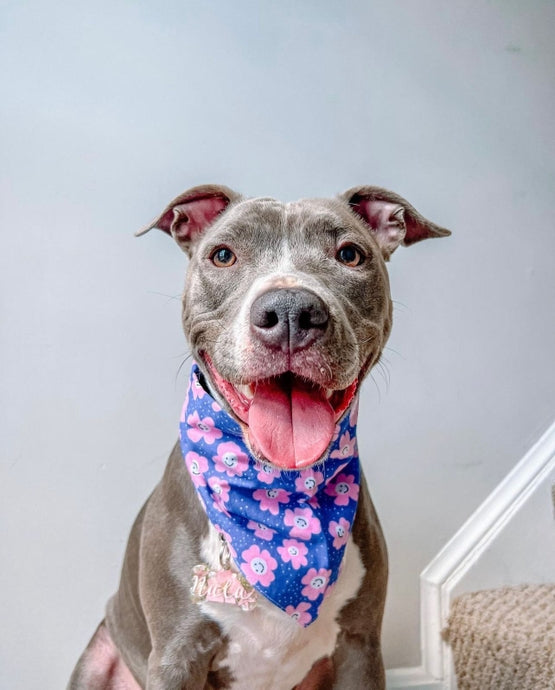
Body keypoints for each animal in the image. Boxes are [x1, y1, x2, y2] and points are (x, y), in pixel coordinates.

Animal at [69, 184, 452, 688]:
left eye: (350, 254)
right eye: (223, 255)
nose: (290, 310)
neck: (277, 496)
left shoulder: (360, 647)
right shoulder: (176, 656)